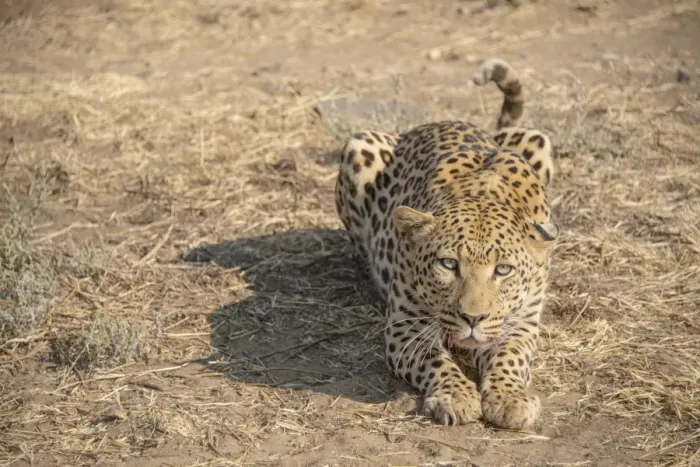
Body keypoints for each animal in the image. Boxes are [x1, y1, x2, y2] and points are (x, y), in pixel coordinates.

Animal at [334, 58, 558, 429]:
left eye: (503, 270)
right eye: (449, 264)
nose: (473, 318)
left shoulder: (523, 323)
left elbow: (510, 355)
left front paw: (509, 398)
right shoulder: (405, 324)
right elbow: (435, 360)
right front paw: (456, 397)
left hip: (536, 138)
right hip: (359, 146)